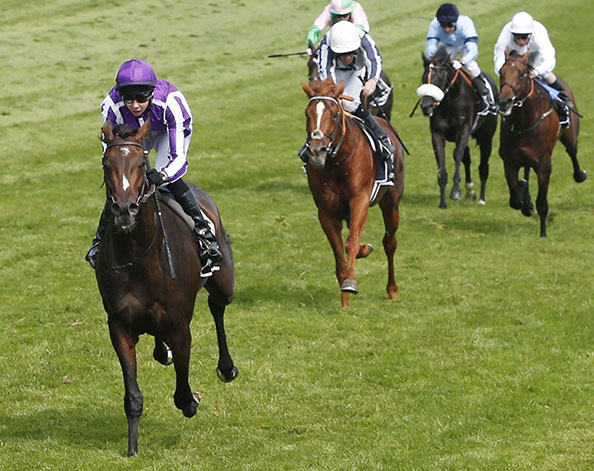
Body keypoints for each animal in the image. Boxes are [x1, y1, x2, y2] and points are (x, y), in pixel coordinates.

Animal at [96, 121, 237, 458]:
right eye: (107, 164)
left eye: (141, 164)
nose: (124, 209)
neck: (139, 256)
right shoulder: (119, 326)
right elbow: (133, 397)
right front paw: (132, 449)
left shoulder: (179, 325)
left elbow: (183, 395)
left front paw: (192, 401)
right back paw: (164, 351)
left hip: (224, 282)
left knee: (217, 307)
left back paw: (226, 368)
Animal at [300, 78, 402, 310]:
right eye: (307, 113)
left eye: (334, 114)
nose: (316, 151)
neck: (338, 162)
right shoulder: (326, 211)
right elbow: (339, 250)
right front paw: (345, 299)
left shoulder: (360, 200)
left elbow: (350, 243)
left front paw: (350, 283)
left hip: (391, 203)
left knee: (389, 242)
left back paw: (392, 289)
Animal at [418, 46, 498, 208]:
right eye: (424, 78)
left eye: (440, 78)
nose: (426, 107)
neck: (450, 101)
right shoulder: (437, 134)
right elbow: (442, 161)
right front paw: (443, 202)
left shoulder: (464, 130)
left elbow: (457, 155)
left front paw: (455, 191)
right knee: (467, 158)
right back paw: (470, 190)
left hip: (487, 136)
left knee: (483, 166)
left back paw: (482, 198)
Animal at [498, 49, 584, 238]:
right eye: (501, 72)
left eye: (522, 74)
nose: (504, 101)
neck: (524, 122)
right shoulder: (510, 161)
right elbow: (515, 200)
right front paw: (526, 203)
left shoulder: (544, 163)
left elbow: (542, 203)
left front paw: (543, 233)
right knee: (526, 171)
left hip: (570, 136)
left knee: (572, 152)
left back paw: (580, 174)